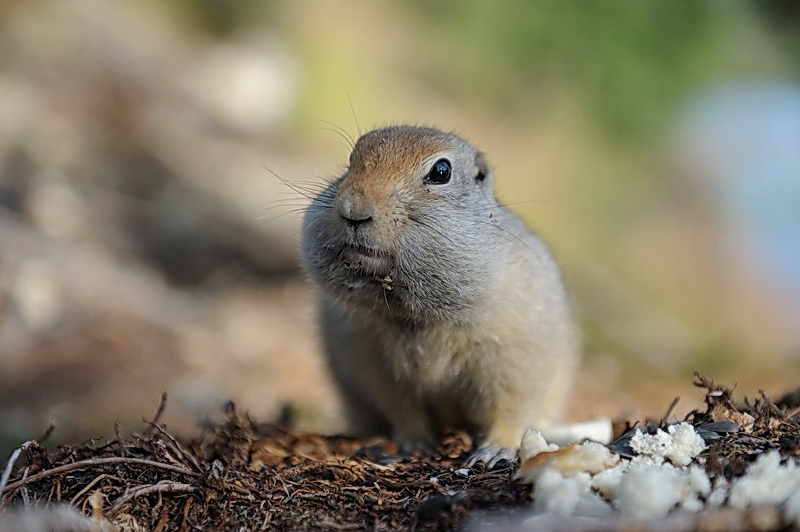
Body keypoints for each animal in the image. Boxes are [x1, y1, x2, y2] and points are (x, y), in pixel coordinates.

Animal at [304, 125, 580, 466]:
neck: (416, 313)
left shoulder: (515, 357)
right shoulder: (373, 360)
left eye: (441, 171)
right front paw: (415, 443)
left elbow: (511, 407)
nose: (353, 210)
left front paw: (495, 450)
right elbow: (401, 408)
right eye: (351, 160)